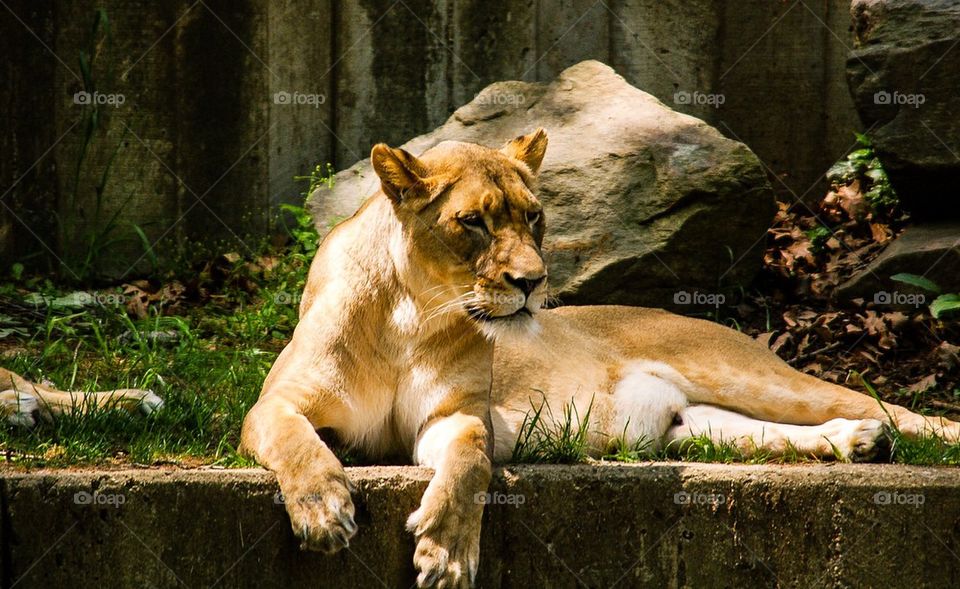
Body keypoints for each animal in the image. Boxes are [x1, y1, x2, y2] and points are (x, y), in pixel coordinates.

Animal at [239, 129, 960, 588]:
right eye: (473, 221)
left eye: (534, 217)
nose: (532, 282)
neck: (414, 312)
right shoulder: (274, 405)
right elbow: (294, 440)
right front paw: (324, 512)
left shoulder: (454, 416)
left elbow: (470, 463)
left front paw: (446, 550)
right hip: (694, 426)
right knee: (775, 434)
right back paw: (858, 443)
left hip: (749, 375)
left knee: (893, 408)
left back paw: (898, 434)